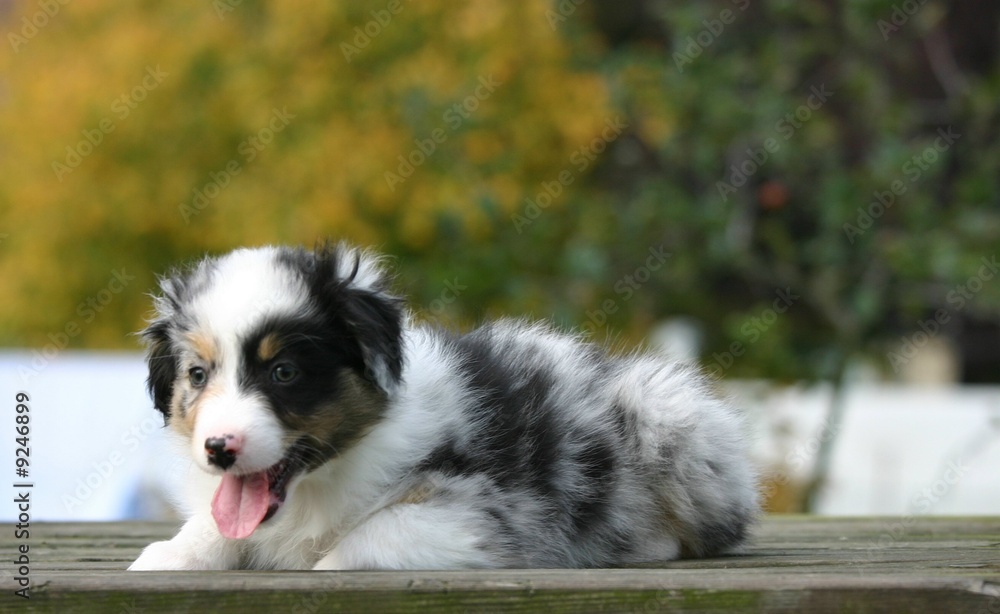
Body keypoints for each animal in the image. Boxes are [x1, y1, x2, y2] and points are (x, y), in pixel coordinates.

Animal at [127, 242, 756, 572]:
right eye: (198, 374)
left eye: (284, 373)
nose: (219, 448)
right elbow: (214, 528)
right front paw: (166, 556)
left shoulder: (472, 515)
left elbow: (359, 542)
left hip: (666, 412)